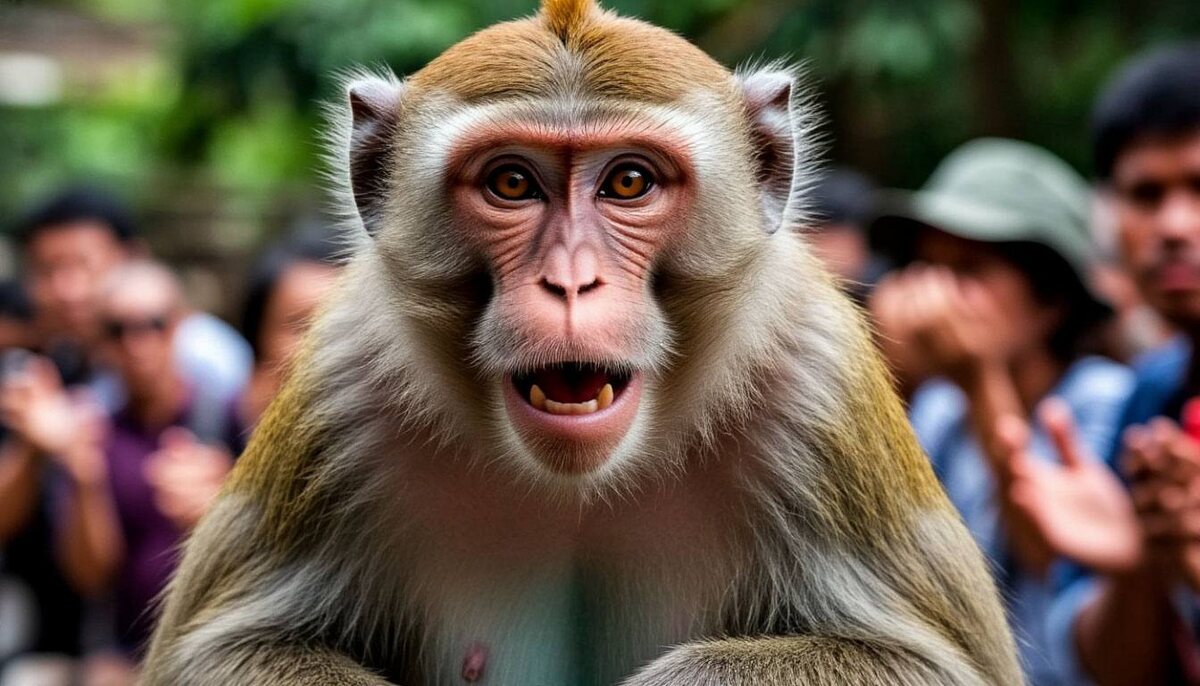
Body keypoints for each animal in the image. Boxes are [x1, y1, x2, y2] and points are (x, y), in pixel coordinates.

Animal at [142, 1, 1022, 684]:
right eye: (511, 182)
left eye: (630, 181)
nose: (570, 284)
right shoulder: (342, 385)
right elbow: (217, 652)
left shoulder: (818, 381)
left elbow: (937, 664)